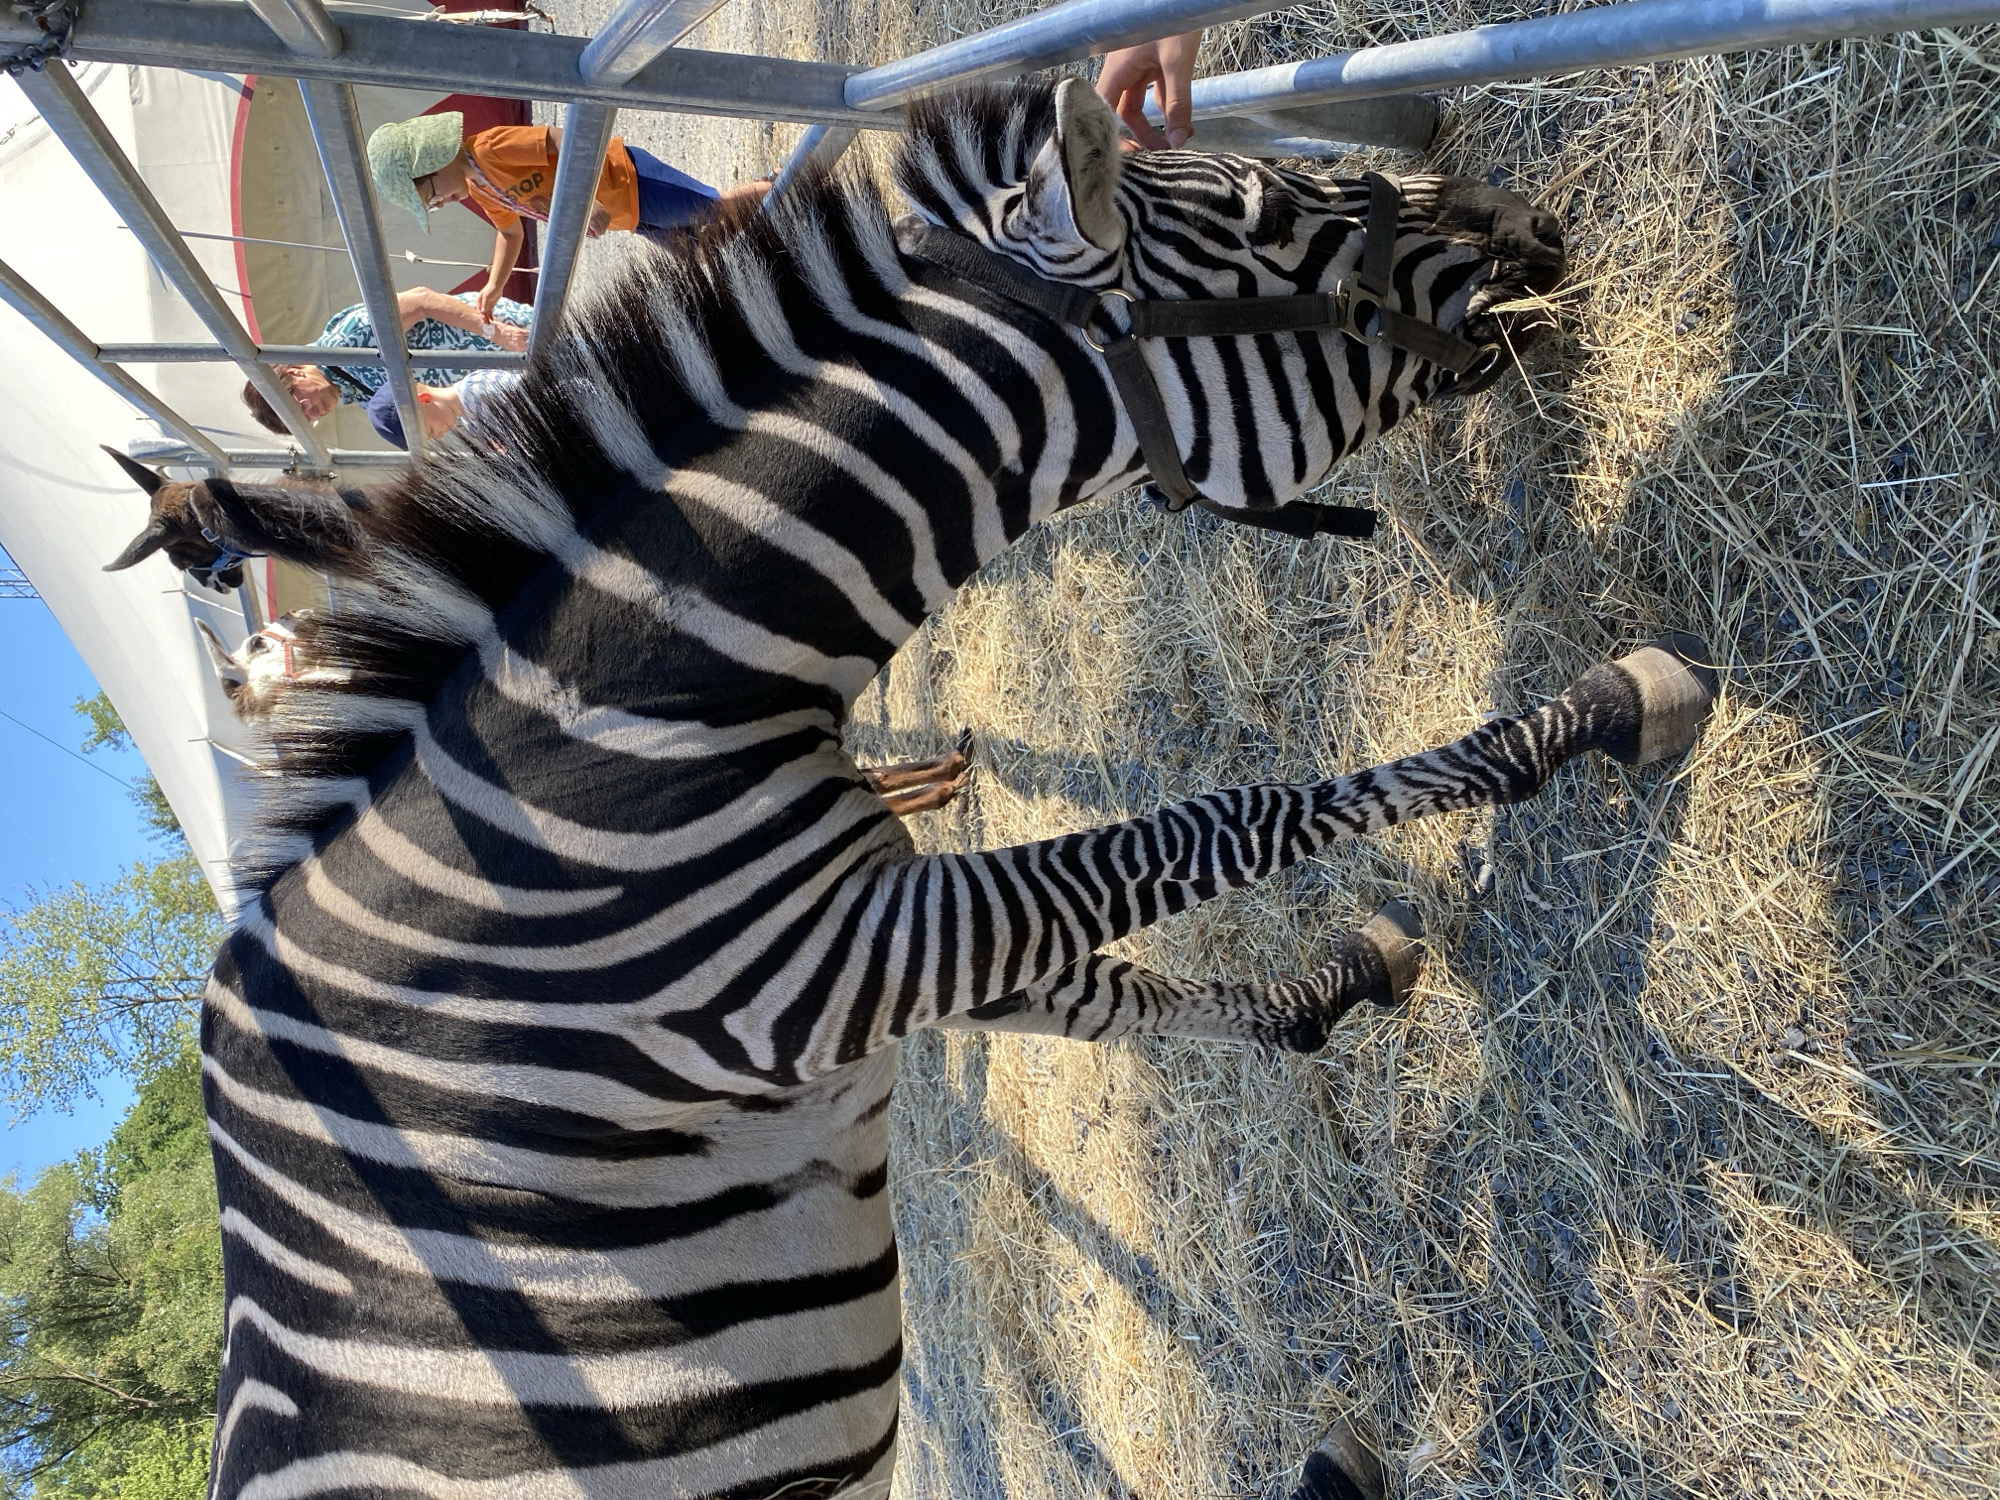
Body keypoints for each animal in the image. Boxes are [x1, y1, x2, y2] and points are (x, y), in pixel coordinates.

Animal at [100, 79, 1711, 1500]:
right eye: (1267, 211)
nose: (1536, 226)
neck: (609, 737)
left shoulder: (873, 964)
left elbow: (1120, 994)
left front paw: (1331, 995)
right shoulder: (831, 963)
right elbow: (1216, 827)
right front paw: (1596, 717)